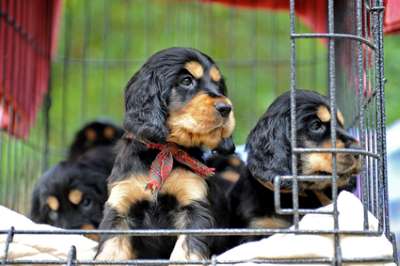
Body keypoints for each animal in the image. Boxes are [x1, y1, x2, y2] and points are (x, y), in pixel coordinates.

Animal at [95, 47, 236, 262]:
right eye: (186, 81)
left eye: (218, 85)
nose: (226, 108)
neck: (165, 149)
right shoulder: (121, 204)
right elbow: (111, 249)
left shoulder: (194, 205)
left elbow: (186, 249)